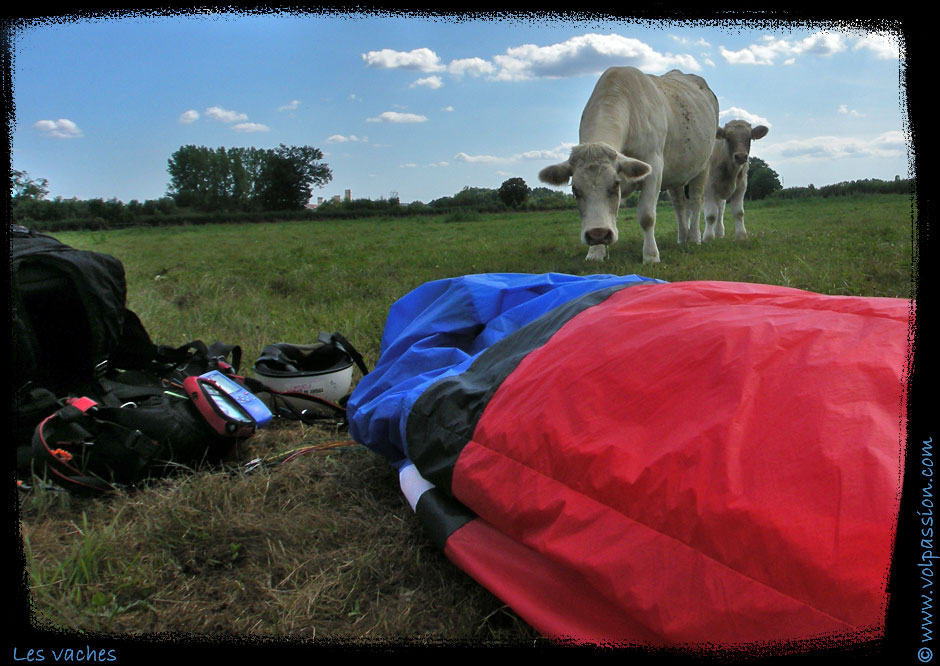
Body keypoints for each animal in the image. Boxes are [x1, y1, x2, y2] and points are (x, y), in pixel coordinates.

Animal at [540, 67, 716, 262]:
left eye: (614, 185)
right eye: (575, 190)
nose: (597, 234)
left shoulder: (654, 165)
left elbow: (647, 216)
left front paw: (650, 256)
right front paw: (595, 253)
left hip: (704, 166)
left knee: (696, 201)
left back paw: (693, 238)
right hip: (677, 173)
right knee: (679, 205)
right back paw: (682, 238)